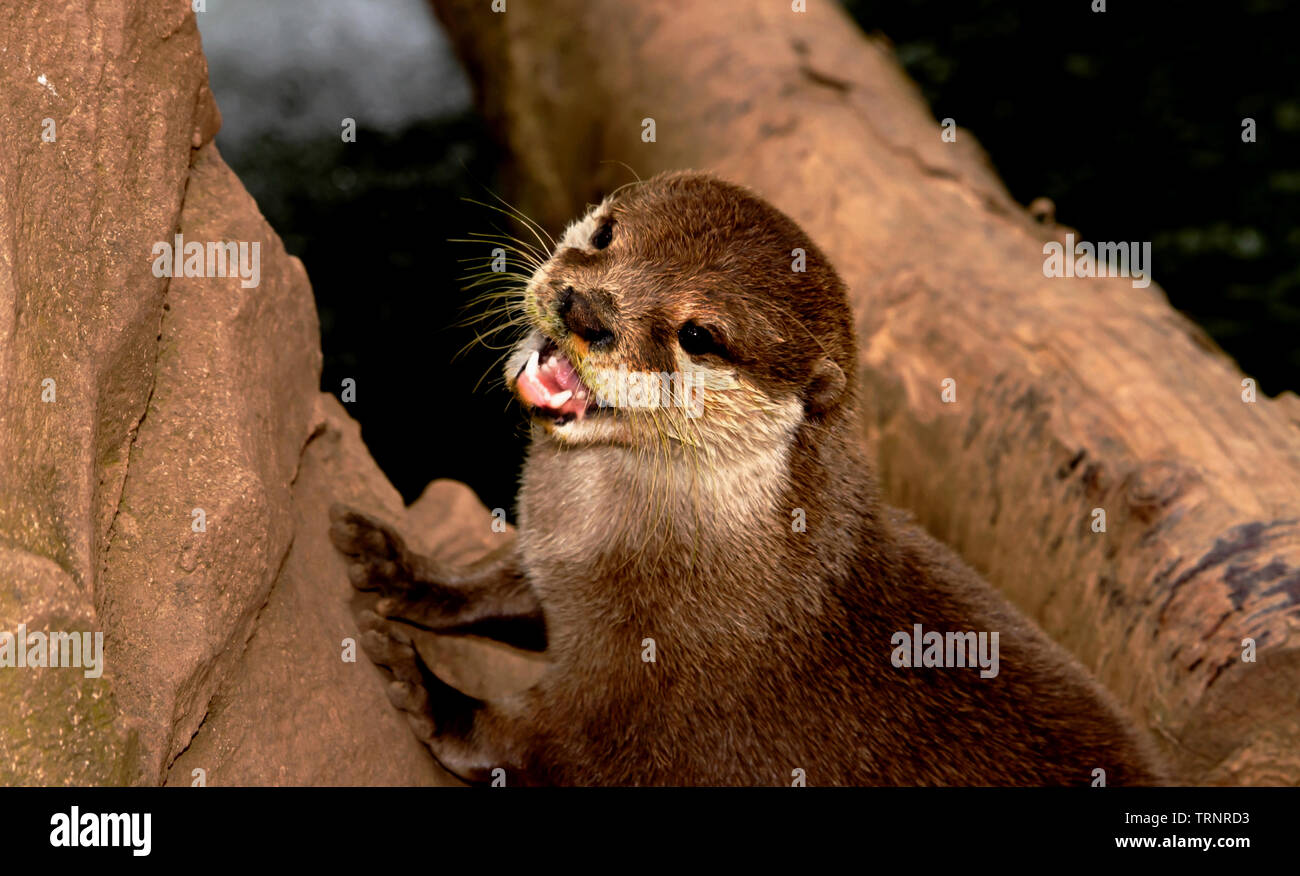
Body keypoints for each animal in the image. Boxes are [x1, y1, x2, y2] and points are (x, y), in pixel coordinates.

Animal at [330, 170, 1164, 785]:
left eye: (698, 335)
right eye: (605, 234)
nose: (587, 307)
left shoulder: (651, 704)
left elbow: (535, 744)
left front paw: (426, 692)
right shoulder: (551, 572)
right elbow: (495, 586)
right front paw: (402, 568)